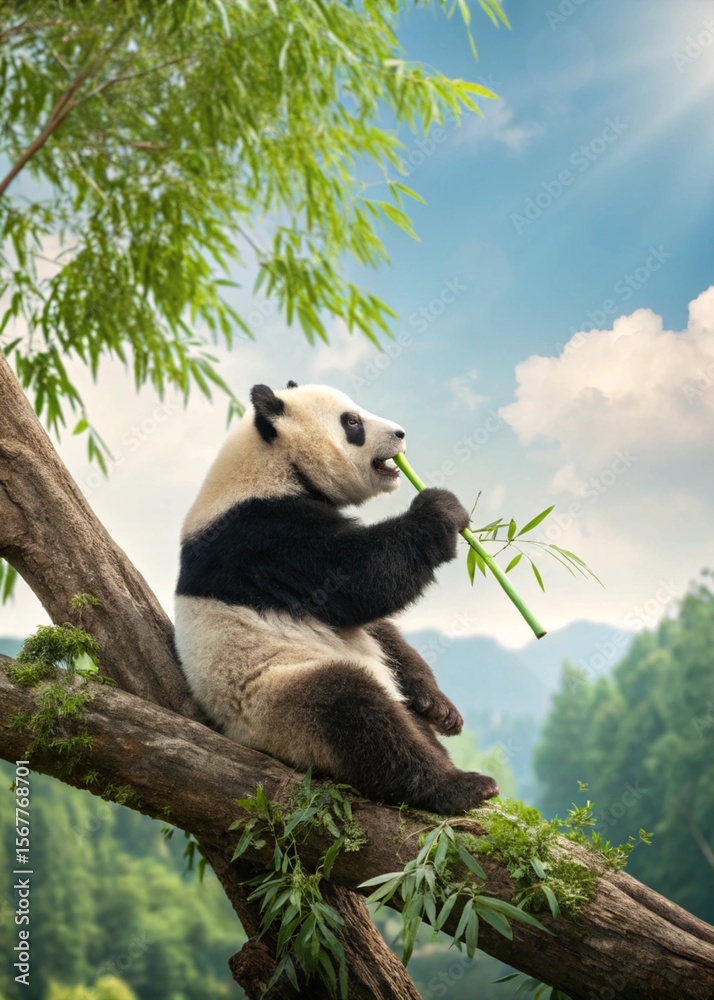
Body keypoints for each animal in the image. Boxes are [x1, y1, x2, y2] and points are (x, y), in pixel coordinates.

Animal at [174, 381, 498, 814]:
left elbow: (375, 626)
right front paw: (441, 508)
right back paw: (457, 785)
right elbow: (358, 580)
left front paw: (438, 706)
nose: (401, 434)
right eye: (352, 422)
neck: (273, 463)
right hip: (276, 705)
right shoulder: (265, 537)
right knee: (355, 710)